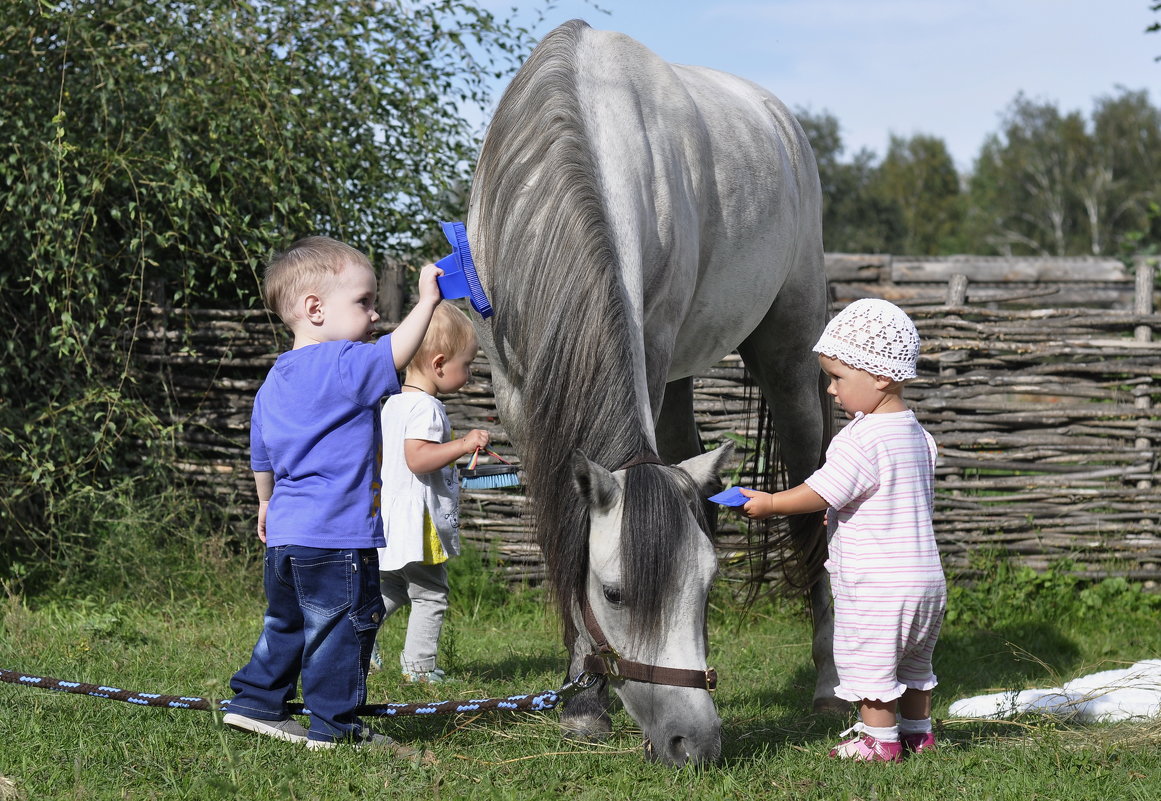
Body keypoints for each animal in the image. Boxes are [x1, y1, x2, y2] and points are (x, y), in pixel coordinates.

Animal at [462, 15, 835, 756]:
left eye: (705, 586)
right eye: (612, 593)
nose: (694, 742)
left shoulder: (651, 350)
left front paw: (587, 699)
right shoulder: (516, 391)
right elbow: (562, 522)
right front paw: (582, 700)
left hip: (785, 358)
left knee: (814, 496)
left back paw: (831, 680)